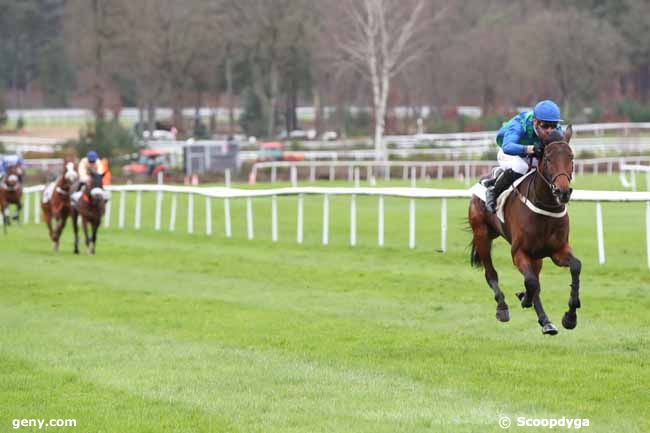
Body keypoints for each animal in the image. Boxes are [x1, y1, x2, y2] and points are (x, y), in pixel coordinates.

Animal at [468, 125, 580, 334]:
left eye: (571, 157)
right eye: (548, 158)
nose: (562, 192)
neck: (545, 207)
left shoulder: (557, 250)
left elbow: (575, 266)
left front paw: (570, 317)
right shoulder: (519, 252)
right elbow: (531, 283)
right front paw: (523, 298)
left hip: (536, 256)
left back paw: (546, 322)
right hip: (482, 235)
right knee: (491, 273)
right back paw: (502, 308)